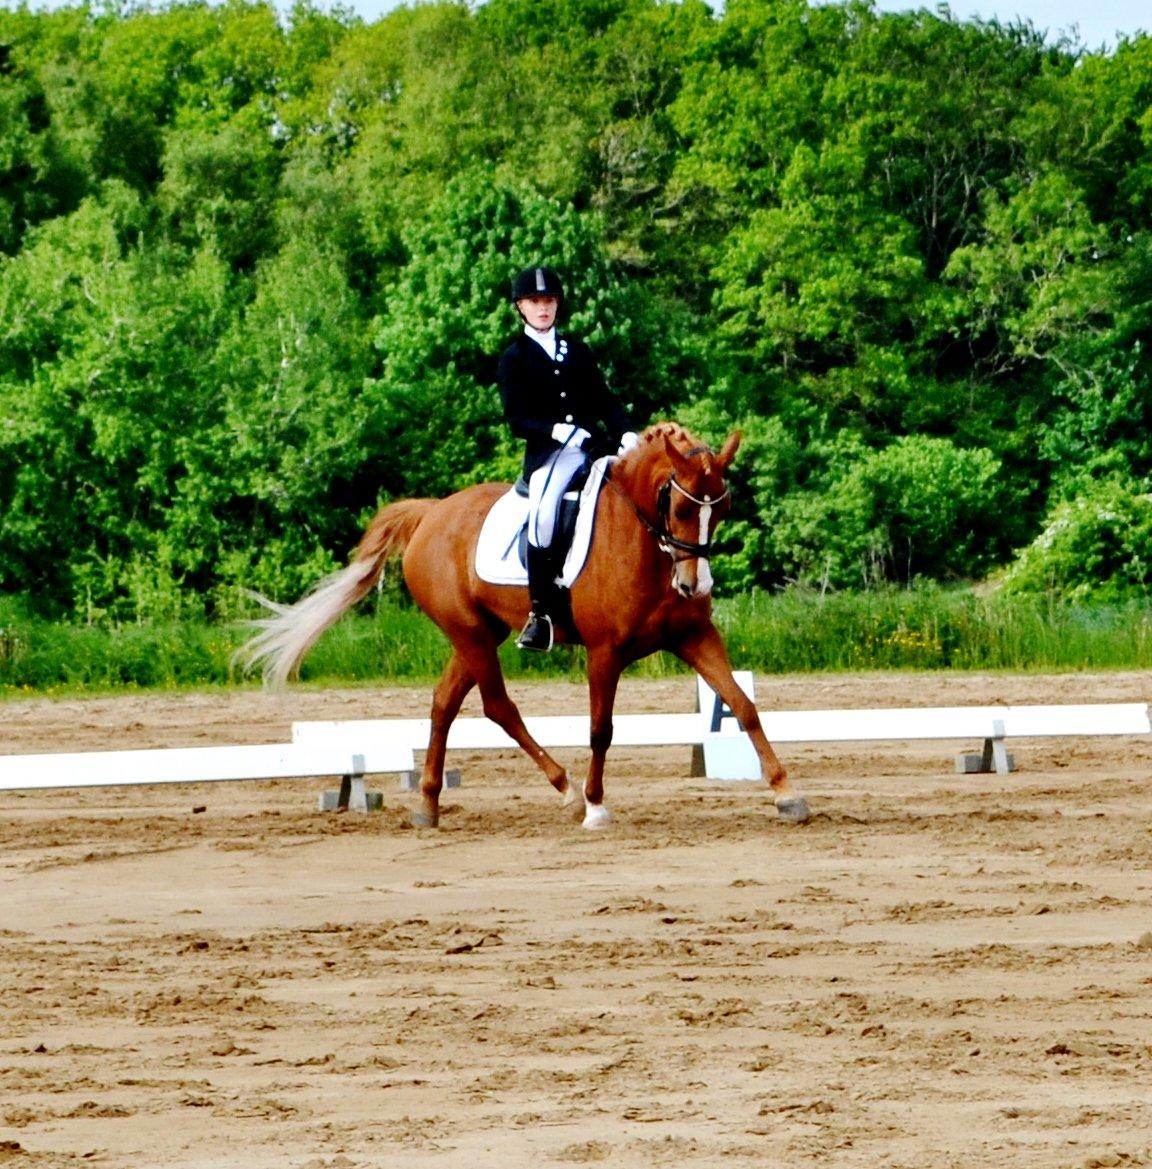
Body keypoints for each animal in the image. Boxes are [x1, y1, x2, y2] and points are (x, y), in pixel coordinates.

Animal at [237, 420, 809, 832]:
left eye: (723, 507)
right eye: (679, 506)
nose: (695, 585)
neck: (646, 544)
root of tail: (430, 514)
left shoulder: (692, 637)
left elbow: (742, 705)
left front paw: (787, 793)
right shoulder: (604, 651)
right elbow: (601, 729)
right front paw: (596, 806)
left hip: (478, 634)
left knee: (444, 704)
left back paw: (428, 805)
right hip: (469, 632)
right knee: (497, 706)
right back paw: (567, 792)